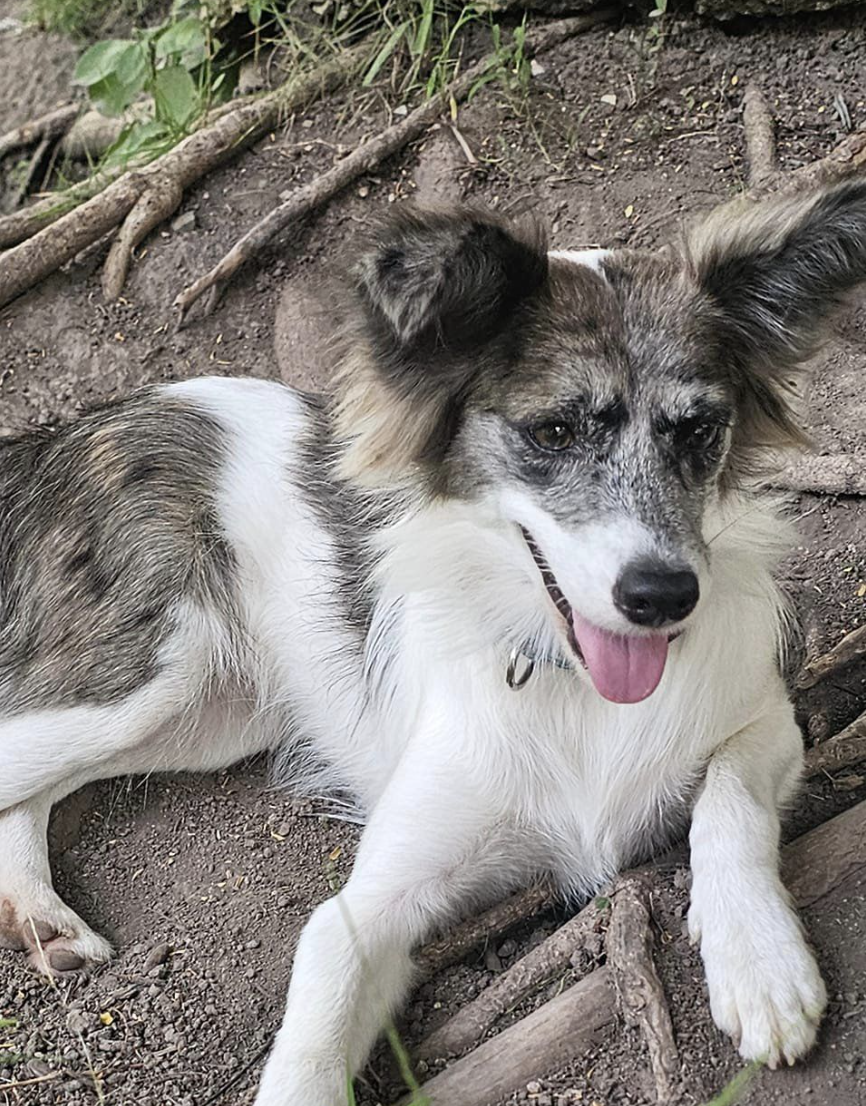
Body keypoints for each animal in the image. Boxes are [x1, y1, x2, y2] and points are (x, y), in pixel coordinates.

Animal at [1, 183, 866, 1106]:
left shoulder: (765, 717)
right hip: (145, 679)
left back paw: (41, 919)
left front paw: (760, 960)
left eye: (698, 429)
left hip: (209, 718)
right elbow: (320, 1002)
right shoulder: (366, 908)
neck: (570, 687)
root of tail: (64, 434)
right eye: (553, 433)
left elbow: (729, 794)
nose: (664, 596)